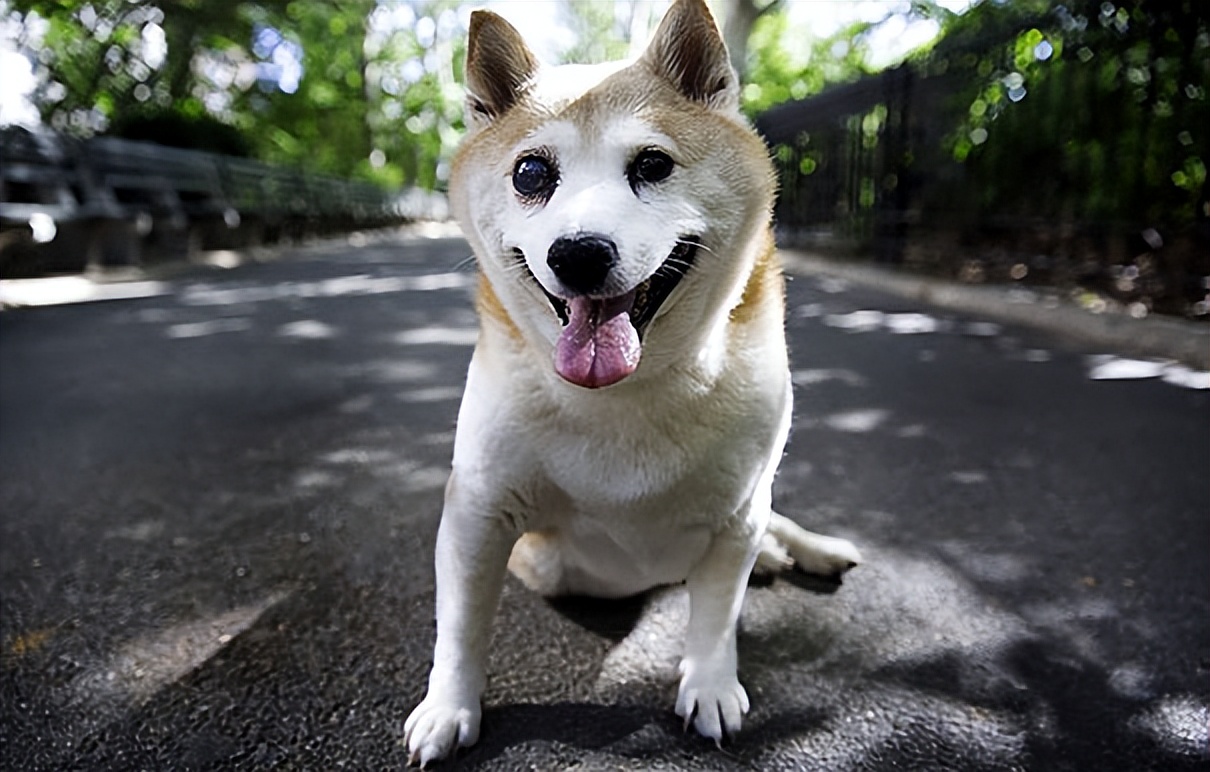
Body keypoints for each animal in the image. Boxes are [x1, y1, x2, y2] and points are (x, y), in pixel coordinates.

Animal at [406, 0, 861, 764]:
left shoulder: (738, 511)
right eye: (531, 172)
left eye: (653, 164)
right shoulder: (480, 512)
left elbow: (715, 617)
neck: (627, 394)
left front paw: (710, 686)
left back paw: (801, 549)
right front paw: (449, 707)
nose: (580, 254)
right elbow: (462, 626)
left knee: (774, 524)